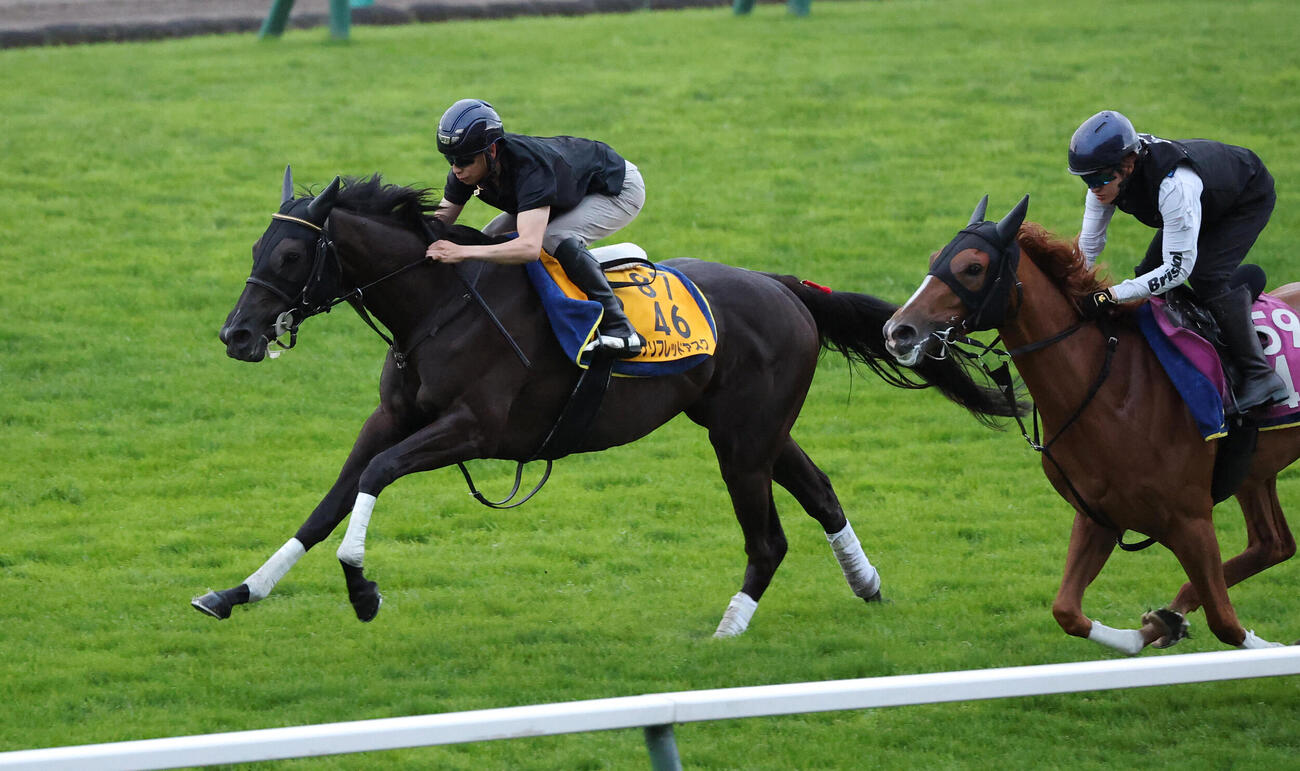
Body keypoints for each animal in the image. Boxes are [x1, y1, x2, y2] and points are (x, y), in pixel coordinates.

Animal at [196, 170, 1020, 636]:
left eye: (292, 254)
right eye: (256, 250)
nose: (238, 334)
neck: (438, 304)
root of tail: (782, 285)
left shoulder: (474, 429)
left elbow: (374, 478)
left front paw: (362, 586)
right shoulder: (393, 418)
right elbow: (330, 500)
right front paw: (239, 591)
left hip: (741, 440)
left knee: (769, 538)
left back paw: (730, 629)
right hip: (751, 427)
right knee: (820, 493)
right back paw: (866, 584)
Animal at [882, 195, 1298, 653]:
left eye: (972, 267)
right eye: (935, 258)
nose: (898, 331)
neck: (1111, 391)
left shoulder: (1191, 520)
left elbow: (1225, 622)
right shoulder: (1099, 515)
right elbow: (1067, 611)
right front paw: (1153, 629)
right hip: (1254, 472)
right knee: (1273, 544)